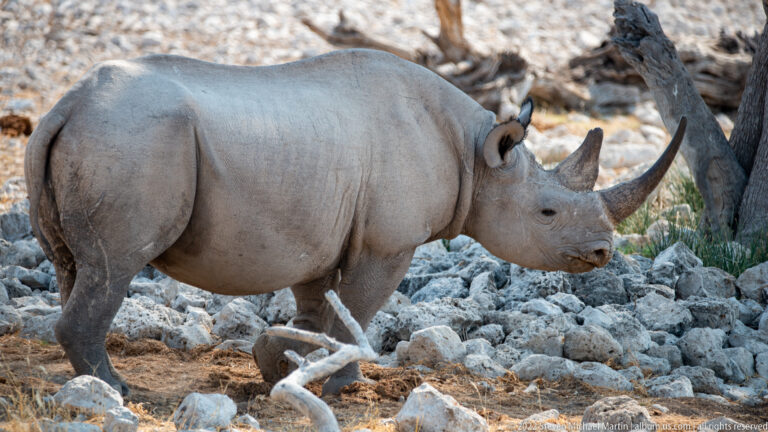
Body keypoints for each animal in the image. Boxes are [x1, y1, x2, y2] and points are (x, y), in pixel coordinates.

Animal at [25, 49, 685, 396]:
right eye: (547, 213)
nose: (602, 253)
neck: (477, 155)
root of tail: (66, 105)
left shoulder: (318, 233)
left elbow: (315, 310)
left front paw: (277, 364)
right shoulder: (389, 243)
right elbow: (361, 310)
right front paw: (343, 386)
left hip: (98, 137)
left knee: (75, 265)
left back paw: (84, 382)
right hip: (131, 141)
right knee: (115, 266)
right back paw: (115, 391)